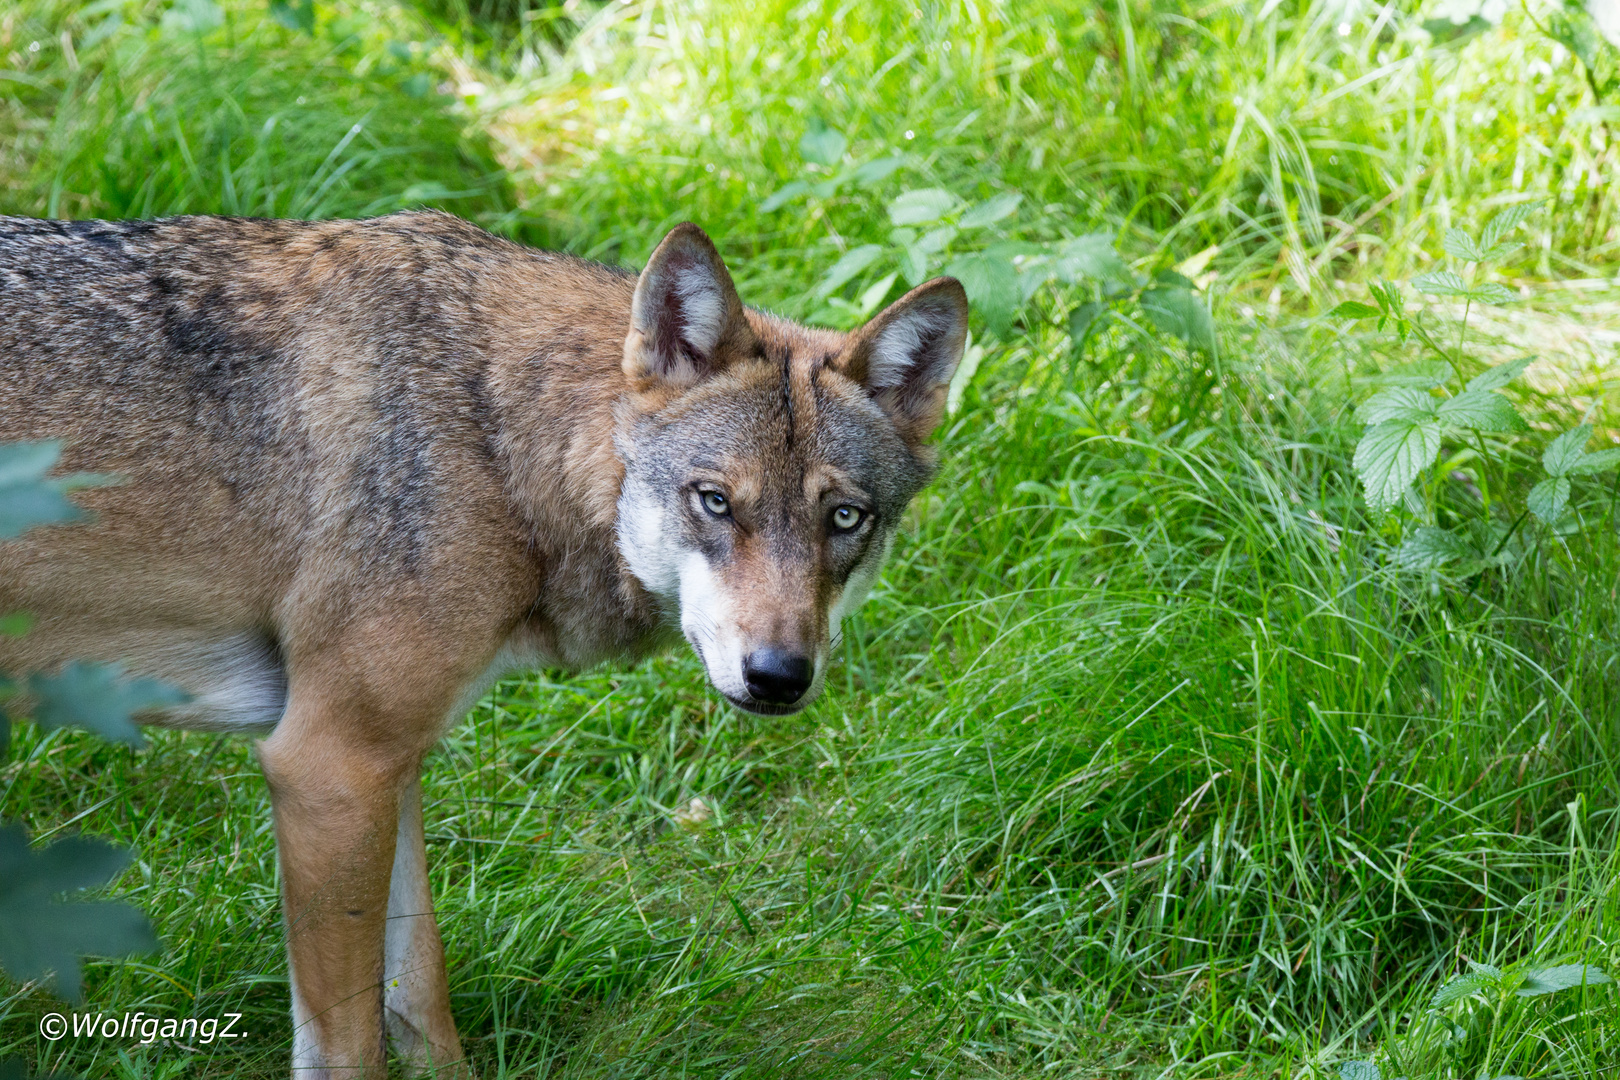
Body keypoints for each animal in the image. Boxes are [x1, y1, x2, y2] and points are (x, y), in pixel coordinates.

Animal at [0, 208, 959, 1075]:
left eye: (846, 520)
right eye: (716, 501)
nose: (779, 677)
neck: (496, 439)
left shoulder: (387, 767)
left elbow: (419, 985)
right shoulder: (328, 766)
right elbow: (349, 1048)